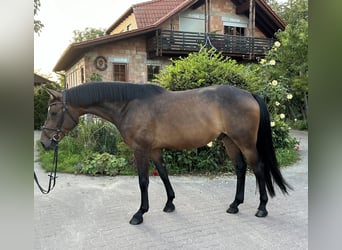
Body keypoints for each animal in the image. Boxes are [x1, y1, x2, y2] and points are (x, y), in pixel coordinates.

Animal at [40, 81, 292, 225]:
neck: (129, 105)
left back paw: (262, 208)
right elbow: (163, 174)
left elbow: (143, 181)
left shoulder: (140, 150)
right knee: (240, 168)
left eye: (53, 112)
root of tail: (249, 94)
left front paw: (140, 214)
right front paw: (170, 204)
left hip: (245, 142)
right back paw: (235, 205)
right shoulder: (154, 150)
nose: (44, 143)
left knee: (258, 168)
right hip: (228, 141)